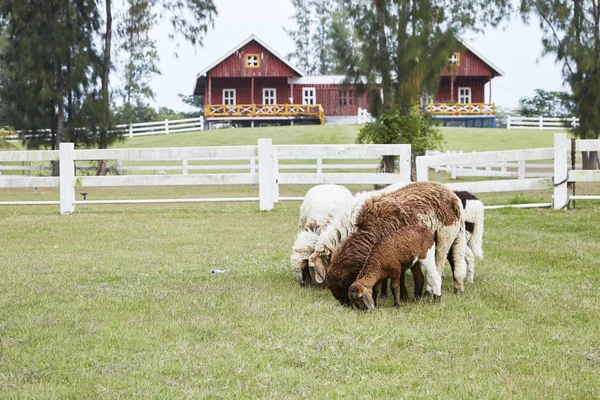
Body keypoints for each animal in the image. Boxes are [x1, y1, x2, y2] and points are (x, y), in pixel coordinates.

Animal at [326, 181, 466, 304]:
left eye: (343, 286)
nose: (346, 304)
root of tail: (453, 196)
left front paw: (401, 297)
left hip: (444, 236)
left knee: (438, 267)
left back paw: (430, 293)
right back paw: (455, 288)